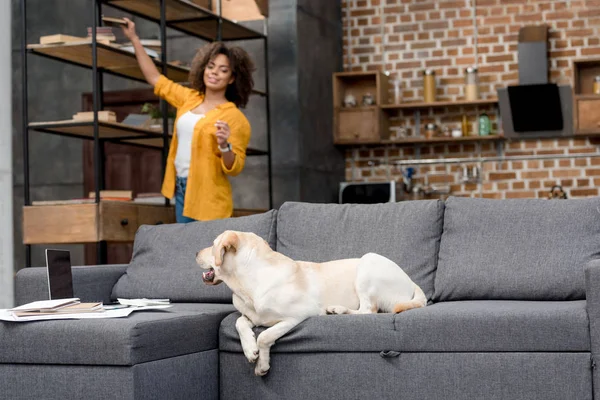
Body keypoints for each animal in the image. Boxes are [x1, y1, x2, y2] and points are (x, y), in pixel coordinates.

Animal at [196, 230, 426, 376]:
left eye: (213, 244)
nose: (196, 253)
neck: (248, 283)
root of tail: (411, 281)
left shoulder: (297, 315)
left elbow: (265, 336)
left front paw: (262, 364)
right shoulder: (253, 316)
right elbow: (240, 322)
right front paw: (249, 349)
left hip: (368, 261)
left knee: (369, 310)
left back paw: (337, 309)